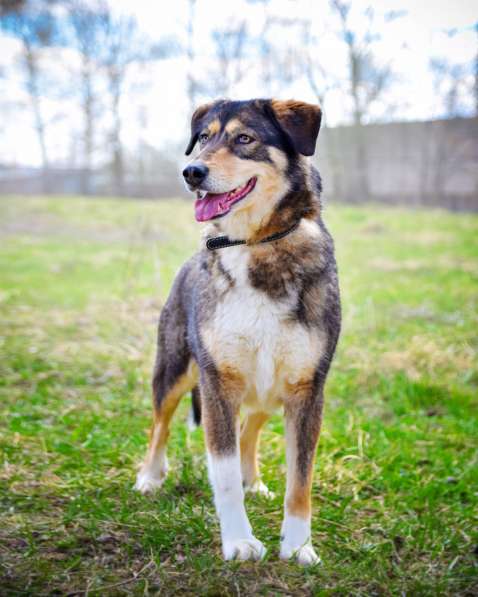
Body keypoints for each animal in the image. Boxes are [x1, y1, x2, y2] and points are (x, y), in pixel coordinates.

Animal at [136, 98, 342, 564]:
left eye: (245, 139)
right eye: (204, 137)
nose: (191, 172)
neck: (255, 244)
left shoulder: (307, 390)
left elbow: (300, 480)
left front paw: (298, 546)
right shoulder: (218, 385)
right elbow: (224, 475)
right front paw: (239, 542)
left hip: (268, 390)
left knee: (249, 429)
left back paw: (254, 481)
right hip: (174, 370)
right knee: (160, 424)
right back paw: (150, 476)